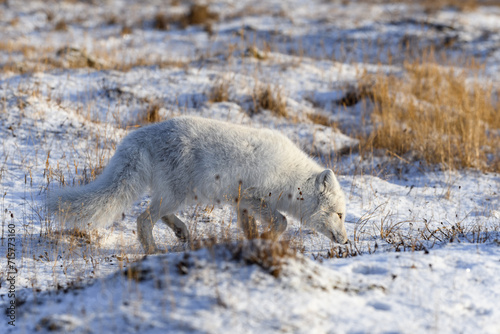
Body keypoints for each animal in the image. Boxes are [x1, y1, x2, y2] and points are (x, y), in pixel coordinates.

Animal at [48, 117, 350, 253]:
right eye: (339, 214)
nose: (346, 240)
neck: (292, 178)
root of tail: (141, 135)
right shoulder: (252, 196)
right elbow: (282, 222)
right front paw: (266, 240)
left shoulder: (241, 202)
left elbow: (249, 226)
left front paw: (255, 241)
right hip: (177, 194)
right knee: (143, 219)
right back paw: (153, 251)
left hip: (178, 194)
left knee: (160, 215)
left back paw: (181, 232)